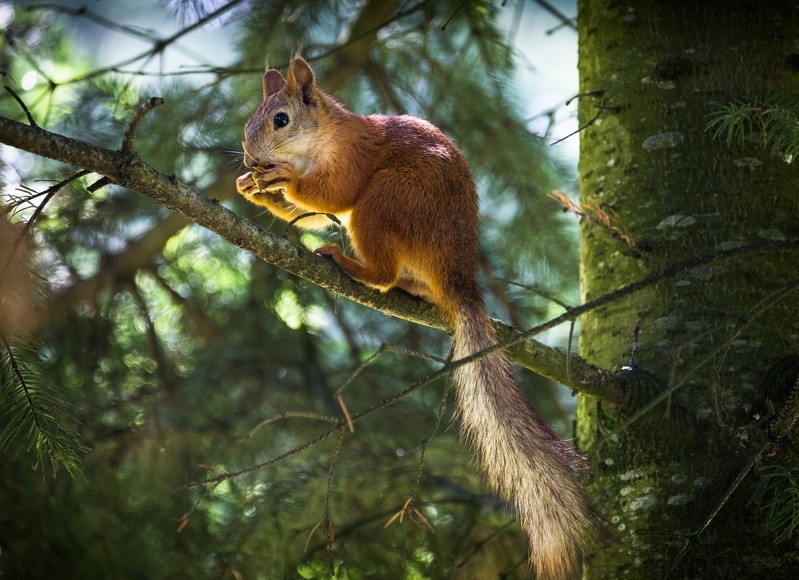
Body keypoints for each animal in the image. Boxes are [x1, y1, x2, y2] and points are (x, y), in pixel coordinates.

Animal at [234, 55, 604, 580]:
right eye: (250, 119)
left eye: (280, 119)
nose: (250, 160)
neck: (323, 135)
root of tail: (456, 276)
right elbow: (311, 216)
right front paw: (252, 190)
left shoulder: (352, 160)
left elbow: (330, 196)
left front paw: (281, 180)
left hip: (385, 201)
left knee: (381, 269)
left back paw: (348, 262)